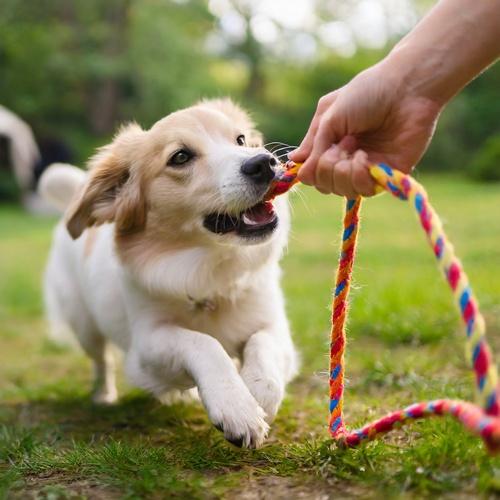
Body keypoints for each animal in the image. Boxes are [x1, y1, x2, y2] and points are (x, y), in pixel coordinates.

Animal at [40, 99, 296, 448]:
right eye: (181, 157)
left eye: (241, 140)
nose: (264, 163)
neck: (209, 268)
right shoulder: (148, 345)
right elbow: (202, 343)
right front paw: (236, 406)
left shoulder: (273, 325)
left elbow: (262, 344)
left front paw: (259, 392)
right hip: (84, 327)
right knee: (102, 362)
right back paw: (105, 396)